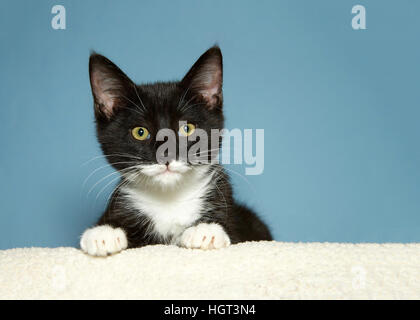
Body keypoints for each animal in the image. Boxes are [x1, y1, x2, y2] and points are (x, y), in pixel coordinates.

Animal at [81, 45, 272, 256]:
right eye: (140, 132)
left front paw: (206, 230)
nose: (166, 155)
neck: (169, 200)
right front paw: (104, 232)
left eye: (186, 128)